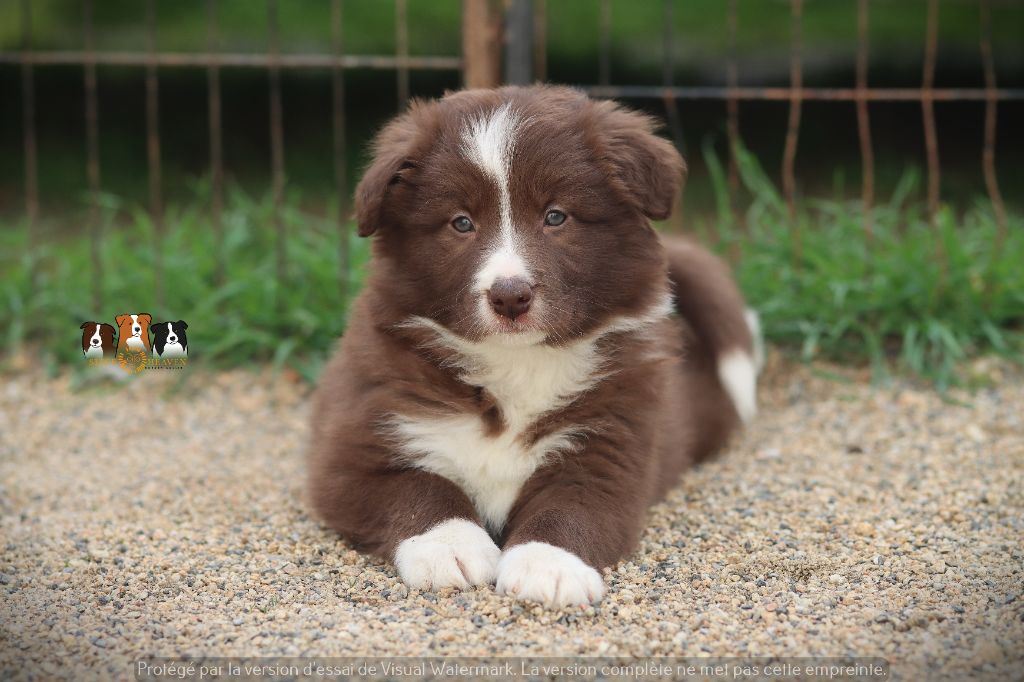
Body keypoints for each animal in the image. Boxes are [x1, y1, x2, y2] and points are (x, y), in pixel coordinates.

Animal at [311, 86, 761, 606]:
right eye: (461, 223)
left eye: (555, 217)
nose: (510, 296)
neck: (516, 362)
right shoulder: (354, 446)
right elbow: (418, 486)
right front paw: (451, 547)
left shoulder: (611, 444)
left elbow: (570, 507)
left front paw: (548, 566)